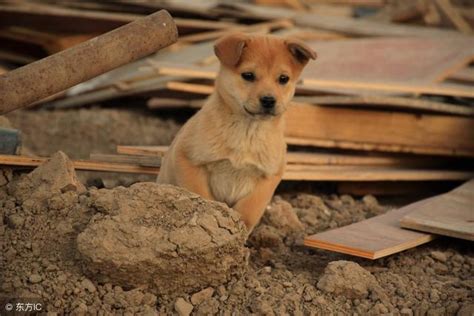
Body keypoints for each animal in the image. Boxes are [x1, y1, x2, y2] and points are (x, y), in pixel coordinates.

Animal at [157, 32, 316, 232]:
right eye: (248, 75)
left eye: (283, 78)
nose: (269, 100)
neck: (247, 132)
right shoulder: (187, 159)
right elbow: (202, 197)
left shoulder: (270, 176)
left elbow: (250, 209)